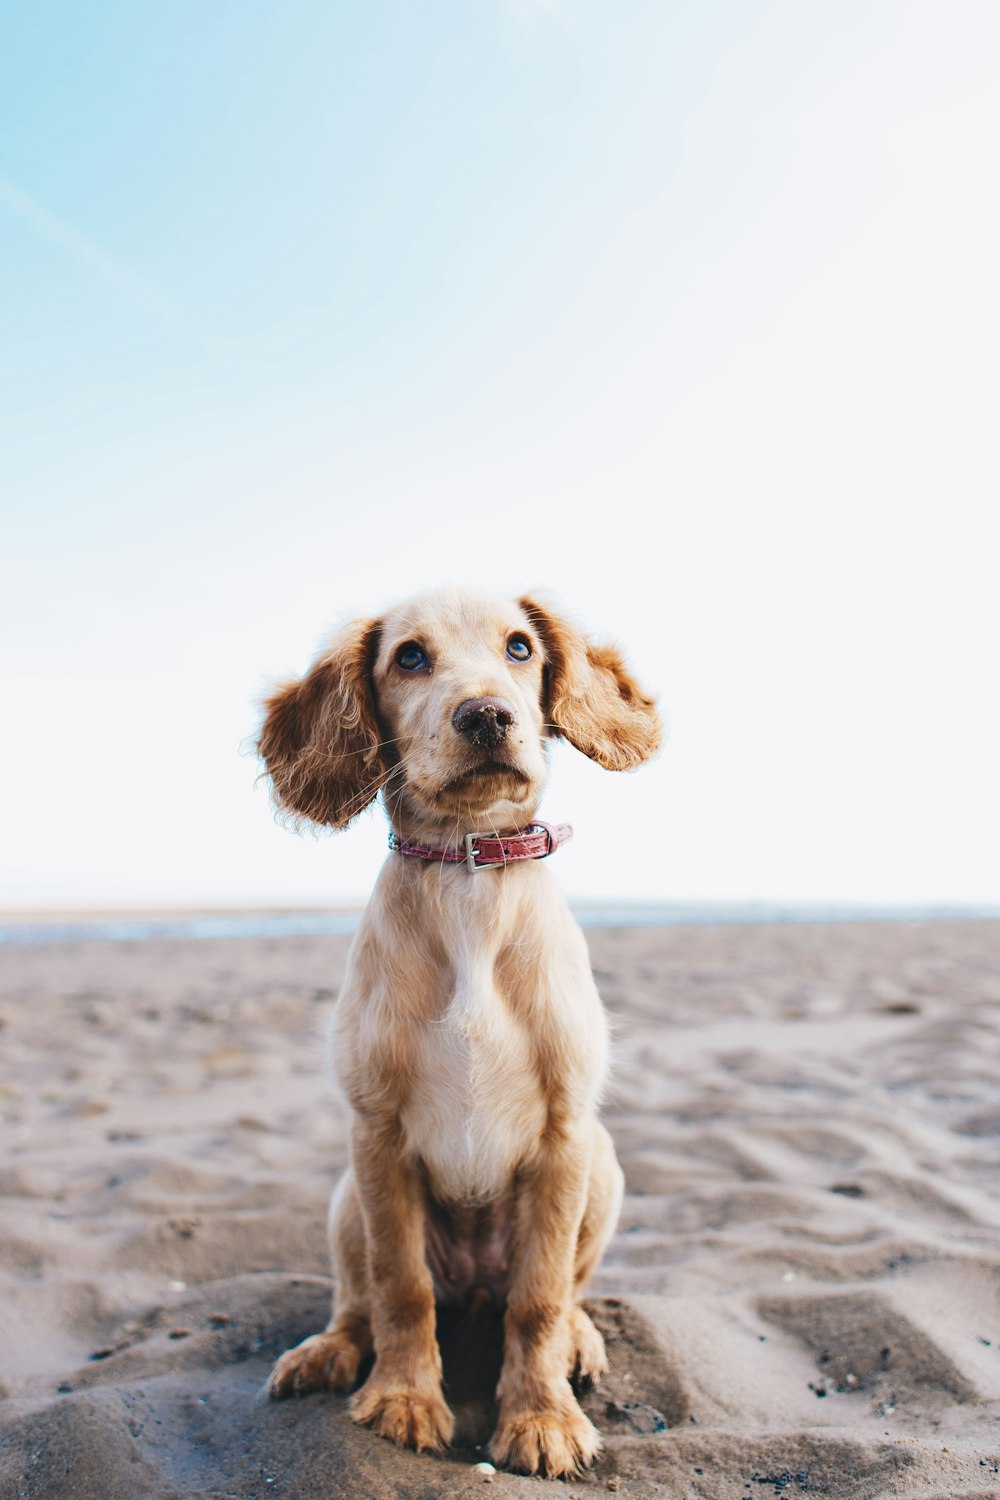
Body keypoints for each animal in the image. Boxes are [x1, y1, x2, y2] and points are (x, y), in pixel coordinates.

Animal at [262, 585, 659, 1476]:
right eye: (409, 657)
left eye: (519, 648)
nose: (486, 716)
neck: (467, 876)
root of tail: (474, 1285)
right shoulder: (376, 1135)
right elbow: (400, 1286)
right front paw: (404, 1398)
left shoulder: (565, 1136)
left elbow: (539, 1299)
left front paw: (541, 1418)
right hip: (346, 1196)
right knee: (359, 1298)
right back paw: (328, 1351)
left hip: (605, 1168)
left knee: (561, 1292)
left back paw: (579, 1340)